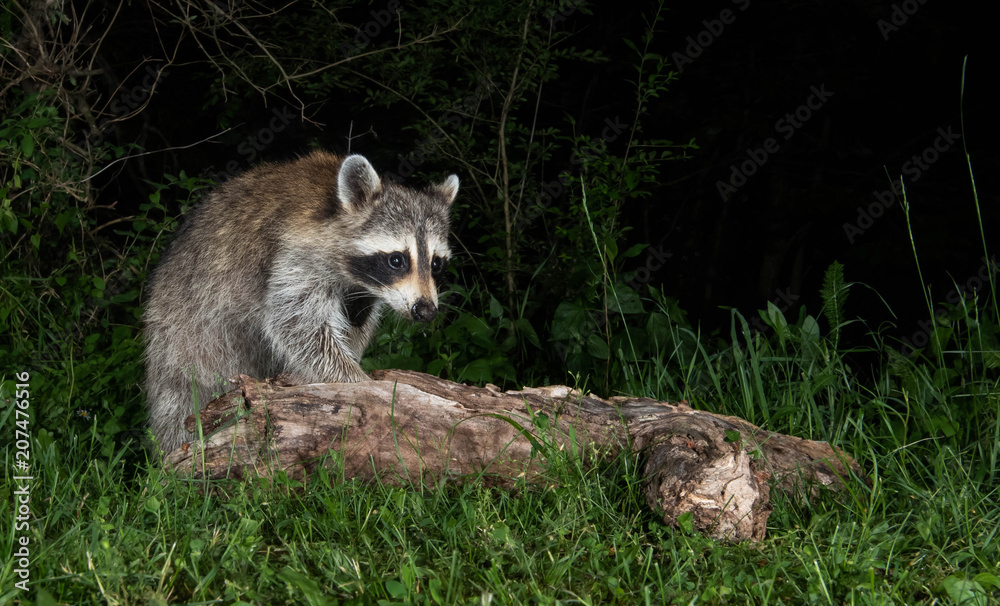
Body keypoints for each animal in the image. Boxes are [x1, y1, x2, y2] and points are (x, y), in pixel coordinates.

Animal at [143, 151, 458, 453]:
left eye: (436, 264)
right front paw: (357, 381)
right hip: (186, 328)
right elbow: (296, 324)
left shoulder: (362, 294)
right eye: (397, 260)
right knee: (183, 392)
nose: (425, 310)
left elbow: (353, 326)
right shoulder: (296, 256)